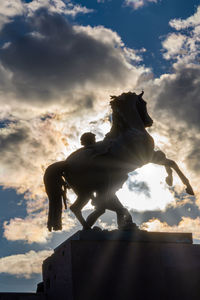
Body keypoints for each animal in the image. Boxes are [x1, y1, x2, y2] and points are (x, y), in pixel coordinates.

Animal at [43, 91, 194, 232]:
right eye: (144, 103)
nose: (149, 121)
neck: (130, 130)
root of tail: (66, 163)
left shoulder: (150, 156)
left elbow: (167, 160)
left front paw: (170, 179)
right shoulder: (147, 157)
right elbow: (171, 162)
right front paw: (187, 187)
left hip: (87, 190)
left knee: (92, 205)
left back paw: (96, 224)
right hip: (88, 190)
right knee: (82, 206)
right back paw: (90, 226)